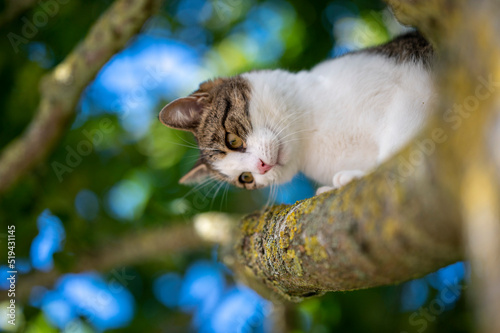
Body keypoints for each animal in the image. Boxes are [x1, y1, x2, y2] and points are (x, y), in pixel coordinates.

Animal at [159, 32, 434, 193]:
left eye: (232, 140)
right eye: (246, 178)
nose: (262, 169)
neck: (312, 135)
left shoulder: (412, 91)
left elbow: (400, 143)